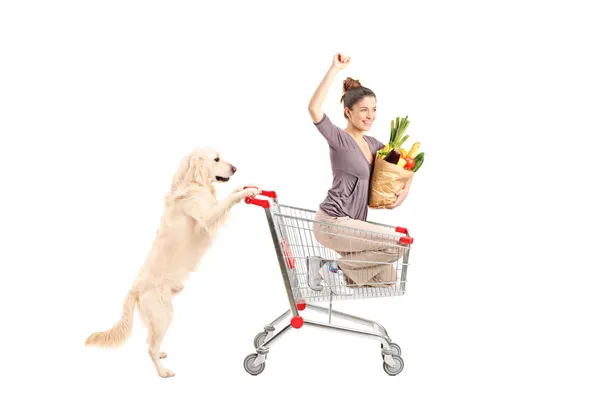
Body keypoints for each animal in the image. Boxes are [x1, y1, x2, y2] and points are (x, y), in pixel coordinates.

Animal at [85, 148, 260, 378]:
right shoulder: (207, 216)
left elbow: (229, 193)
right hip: (163, 315)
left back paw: (161, 354)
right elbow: (229, 199)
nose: (235, 168)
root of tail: (134, 289)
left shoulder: (212, 207)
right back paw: (163, 372)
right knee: (150, 347)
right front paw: (245, 193)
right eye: (216, 159)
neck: (191, 183)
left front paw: (249, 187)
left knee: (150, 341)